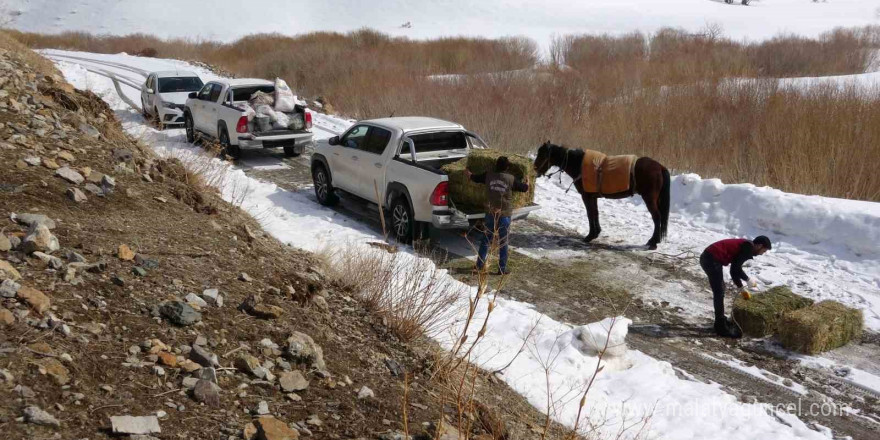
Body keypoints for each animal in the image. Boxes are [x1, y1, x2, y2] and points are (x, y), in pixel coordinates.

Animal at [532, 143, 672, 249]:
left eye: (542, 154)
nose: (534, 171)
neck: (579, 164)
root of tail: (660, 167)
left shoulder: (586, 196)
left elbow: (590, 214)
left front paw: (589, 236)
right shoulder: (593, 197)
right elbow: (595, 213)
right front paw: (596, 233)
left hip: (649, 199)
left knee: (656, 217)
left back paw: (653, 242)